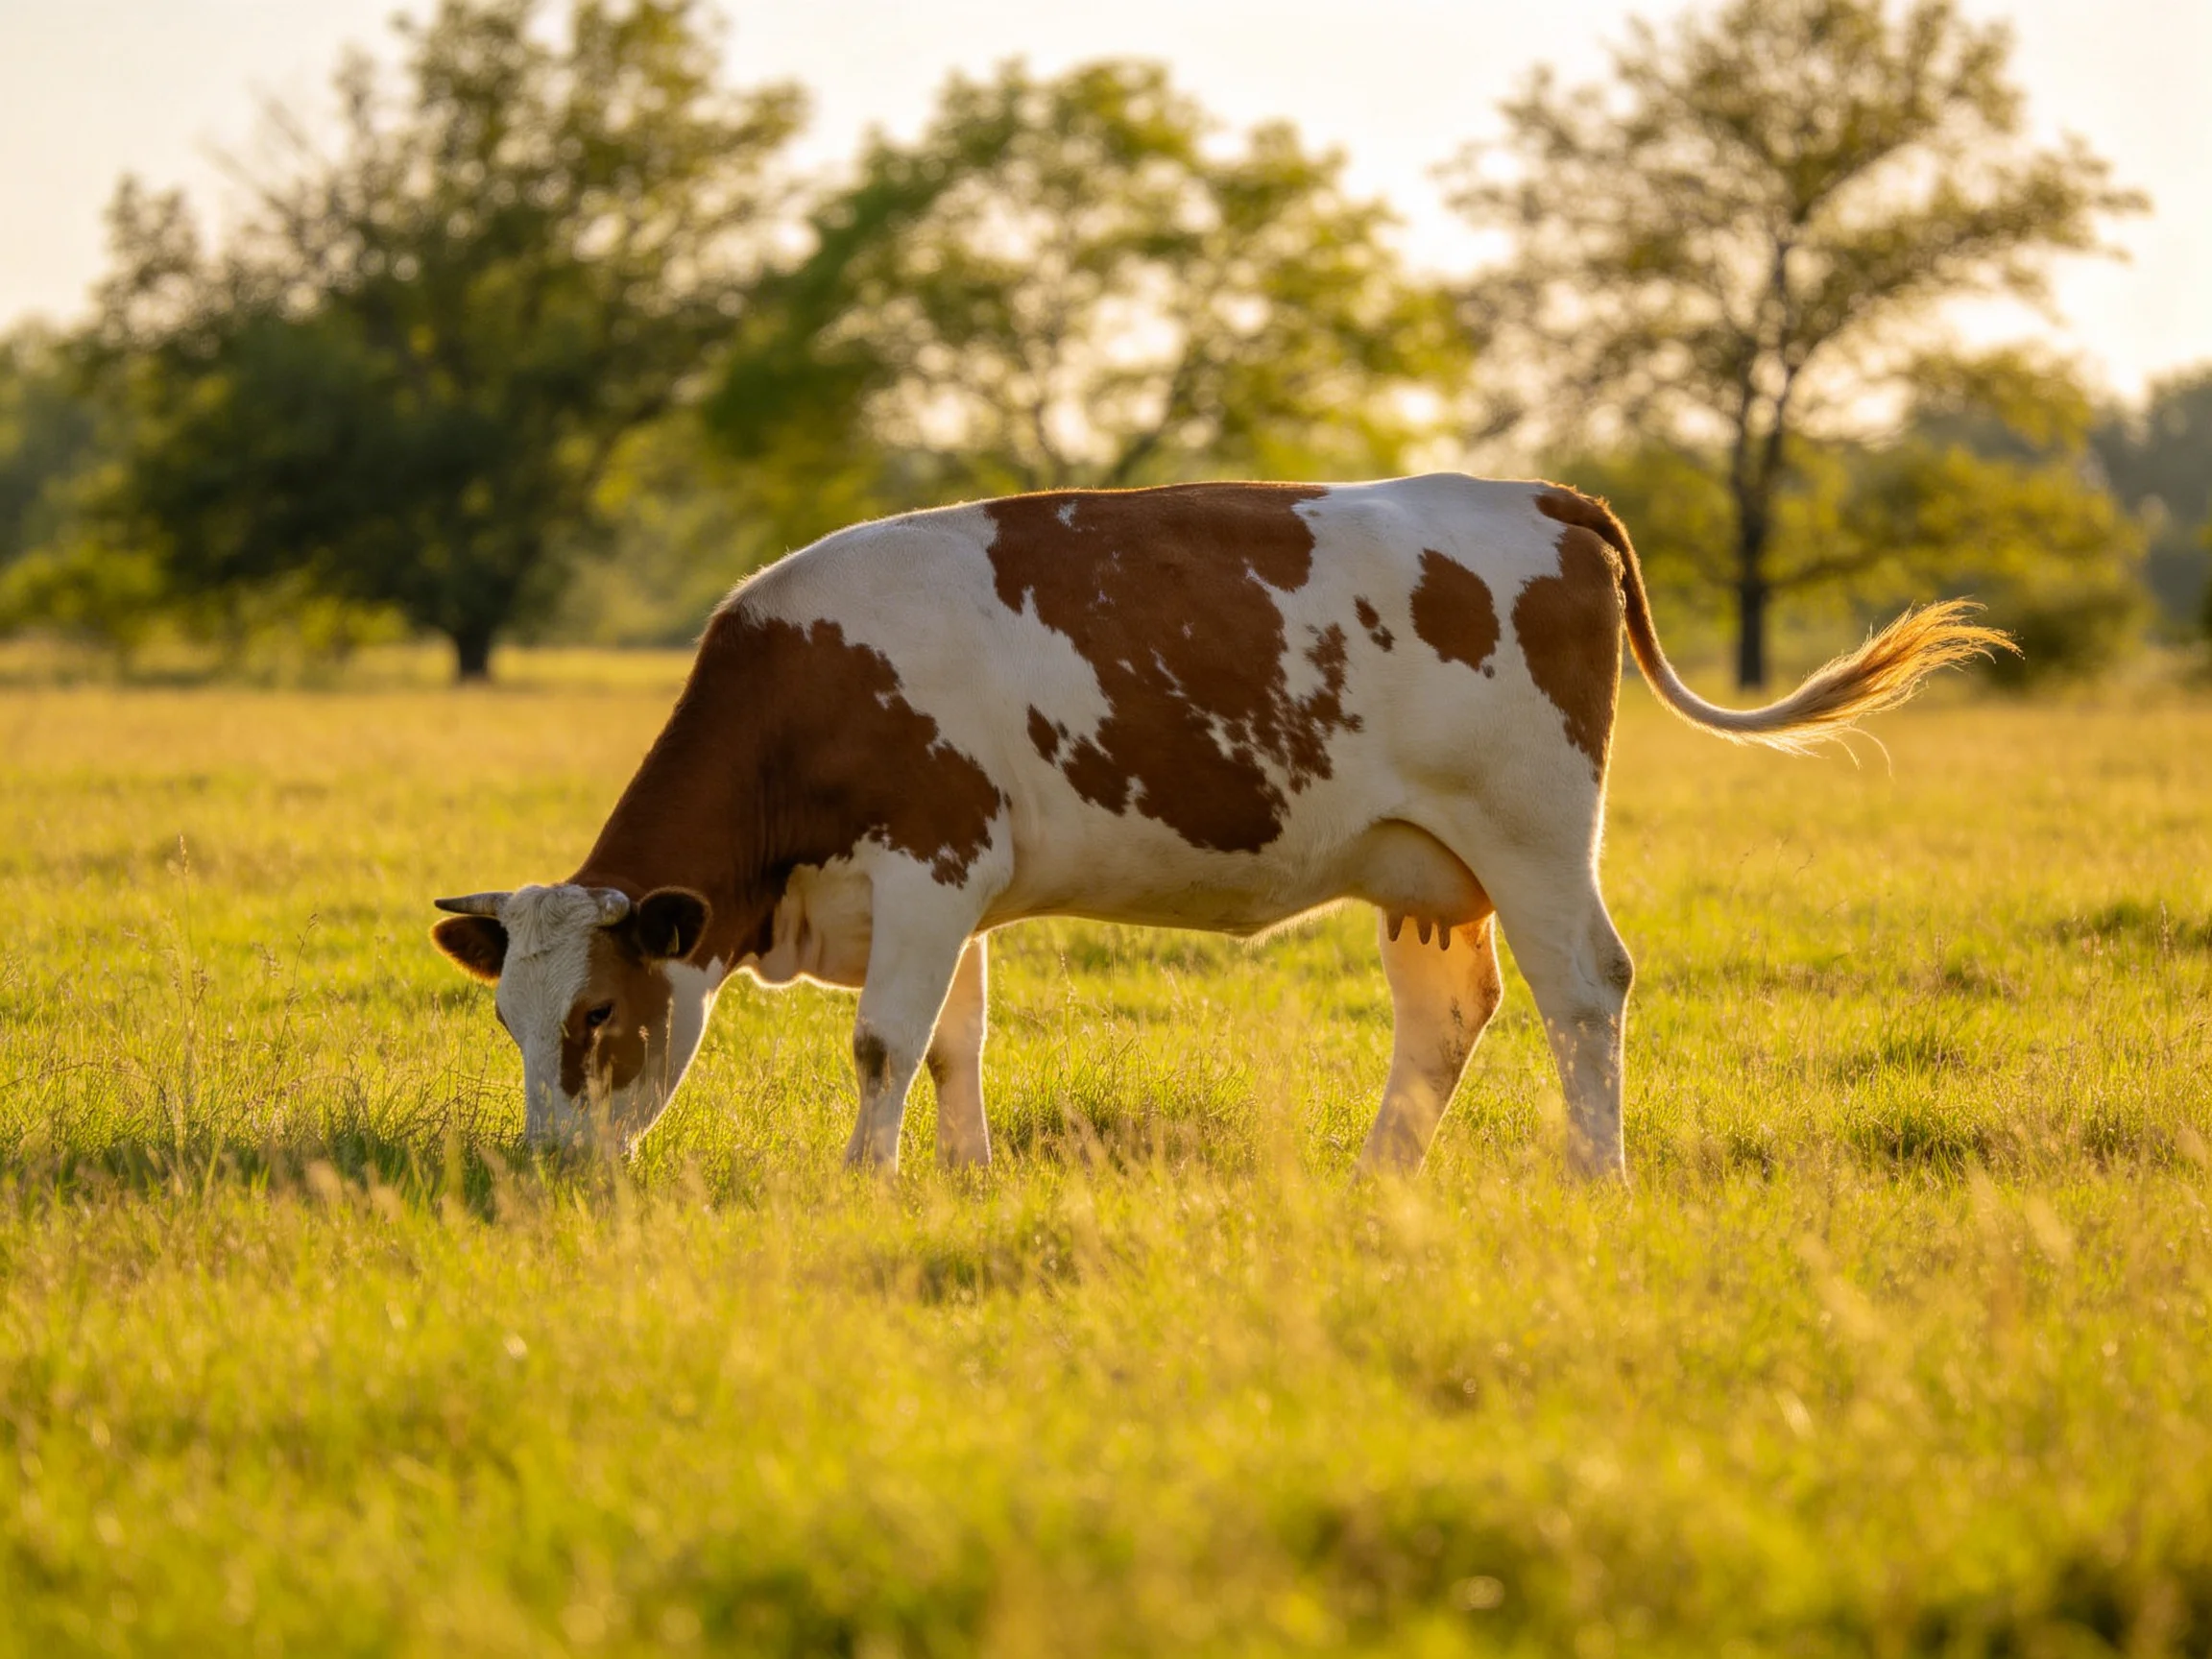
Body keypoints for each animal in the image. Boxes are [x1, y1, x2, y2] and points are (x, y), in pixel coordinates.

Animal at [430, 475, 2003, 1178]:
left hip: (1537, 834)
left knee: (1585, 990)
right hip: (1429, 866)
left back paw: (1592, 1176)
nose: (546, 1165)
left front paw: (864, 1185)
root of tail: (1537, 495)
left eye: (599, 1016)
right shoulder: (951, 889)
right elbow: (951, 1042)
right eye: (510, 1018)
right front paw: (966, 1182)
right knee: (1449, 1012)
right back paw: (1378, 1183)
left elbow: (882, 1042)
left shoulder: (931, 863)